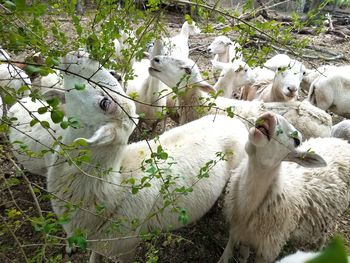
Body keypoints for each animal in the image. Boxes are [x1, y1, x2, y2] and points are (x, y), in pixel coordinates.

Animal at [219, 112, 350, 263]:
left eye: (297, 141)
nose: (270, 116)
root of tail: (341, 142)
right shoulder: (239, 230)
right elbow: (240, 253)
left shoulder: (268, 249)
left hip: (332, 215)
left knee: (325, 232)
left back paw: (320, 248)